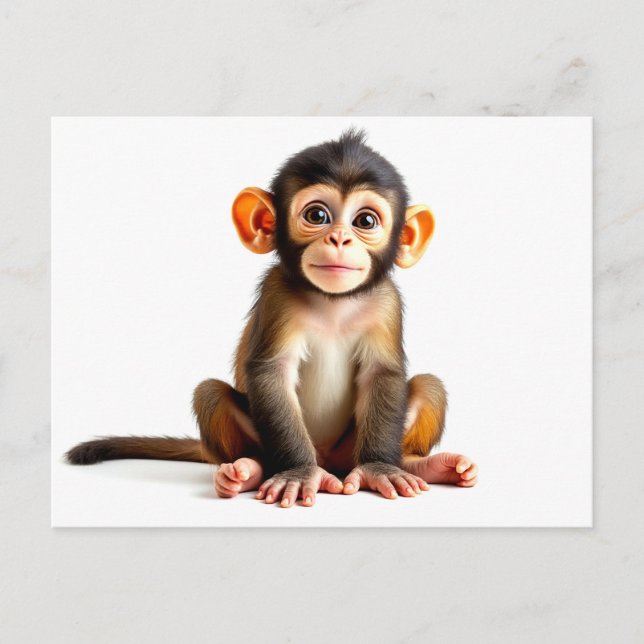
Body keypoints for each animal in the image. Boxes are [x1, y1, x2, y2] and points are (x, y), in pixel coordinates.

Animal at [66, 129, 478, 507]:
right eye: (317, 215)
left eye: (365, 221)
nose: (340, 239)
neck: (332, 303)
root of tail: (332, 463)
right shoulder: (276, 294)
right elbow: (271, 372)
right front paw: (297, 472)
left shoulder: (386, 301)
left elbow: (383, 373)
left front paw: (380, 467)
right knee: (211, 394)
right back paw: (251, 469)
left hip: (348, 451)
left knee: (428, 386)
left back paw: (422, 464)